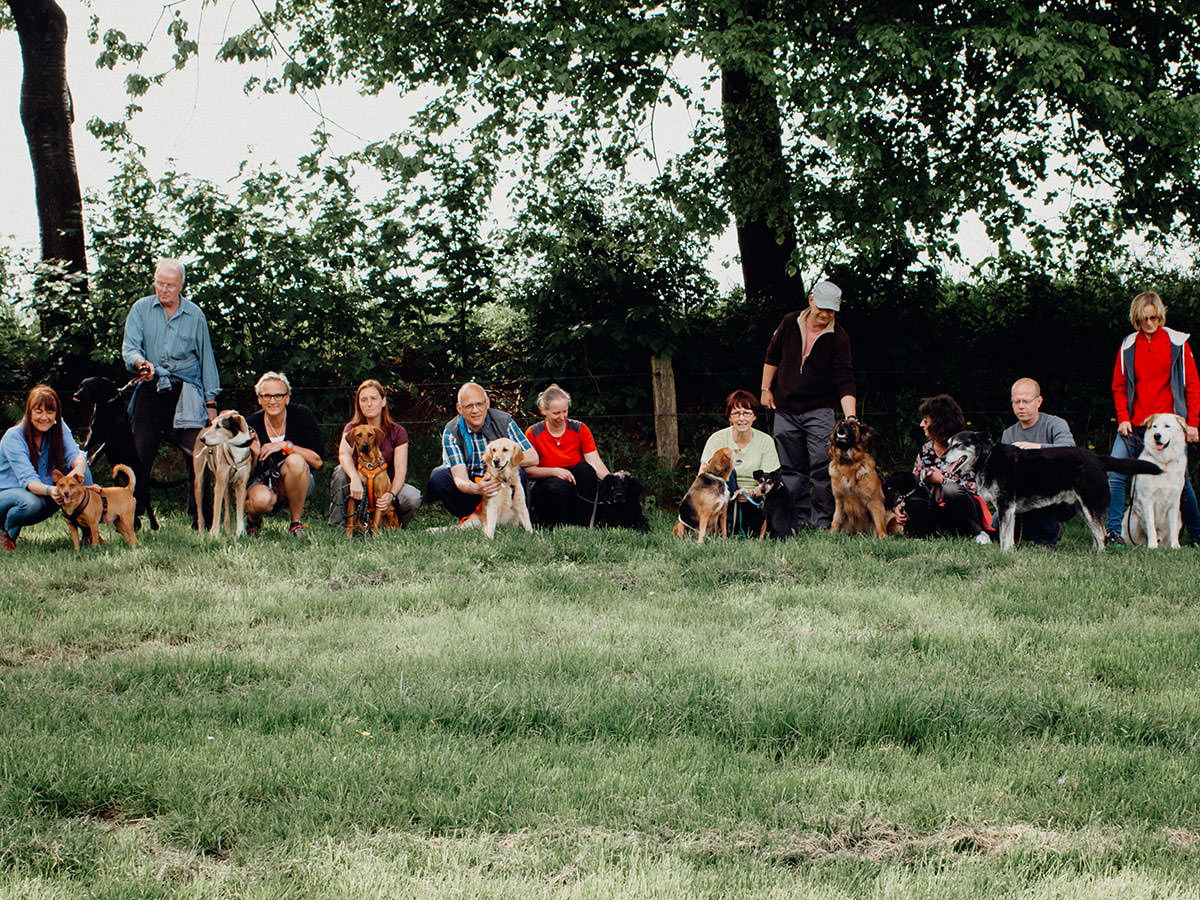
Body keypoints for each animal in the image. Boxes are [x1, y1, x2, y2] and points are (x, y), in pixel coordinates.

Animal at [72, 376, 163, 532]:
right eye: (80, 386)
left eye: (89, 386)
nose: (76, 394)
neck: (106, 407)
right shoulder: (93, 433)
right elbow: (87, 445)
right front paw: (83, 455)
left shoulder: (112, 436)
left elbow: (101, 448)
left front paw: (92, 460)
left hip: (142, 488)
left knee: (147, 506)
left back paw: (154, 525)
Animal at [192, 412, 253, 540]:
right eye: (213, 424)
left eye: (219, 426)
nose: (202, 439)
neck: (235, 446)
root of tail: (203, 429)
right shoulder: (219, 485)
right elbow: (217, 510)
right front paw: (214, 533)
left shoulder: (241, 486)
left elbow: (239, 512)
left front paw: (240, 533)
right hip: (199, 482)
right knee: (200, 511)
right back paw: (202, 532)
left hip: (227, 488)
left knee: (228, 514)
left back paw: (229, 533)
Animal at [940, 434, 1156, 554]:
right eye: (948, 443)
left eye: (957, 444)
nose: (941, 457)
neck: (987, 458)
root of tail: (1097, 458)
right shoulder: (1009, 510)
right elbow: (1009, 537)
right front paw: (1009, 552)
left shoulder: (1005, 506)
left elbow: (1004, 536)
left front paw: (1003, 553)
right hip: (1082, 508)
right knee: (1096, 534)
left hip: (1090, 505)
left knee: (1102, 535)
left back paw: (1100, 556)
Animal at [1118, 415, 1185, 549]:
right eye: (1155, 426)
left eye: (1167, 426)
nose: (1156, 435)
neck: (1163, 463)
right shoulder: (1147, 500)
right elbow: (1151, 525)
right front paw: (1152, 546)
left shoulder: (1175, 502)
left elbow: (1173, 528)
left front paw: (1175, 546)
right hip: (1130, 519)